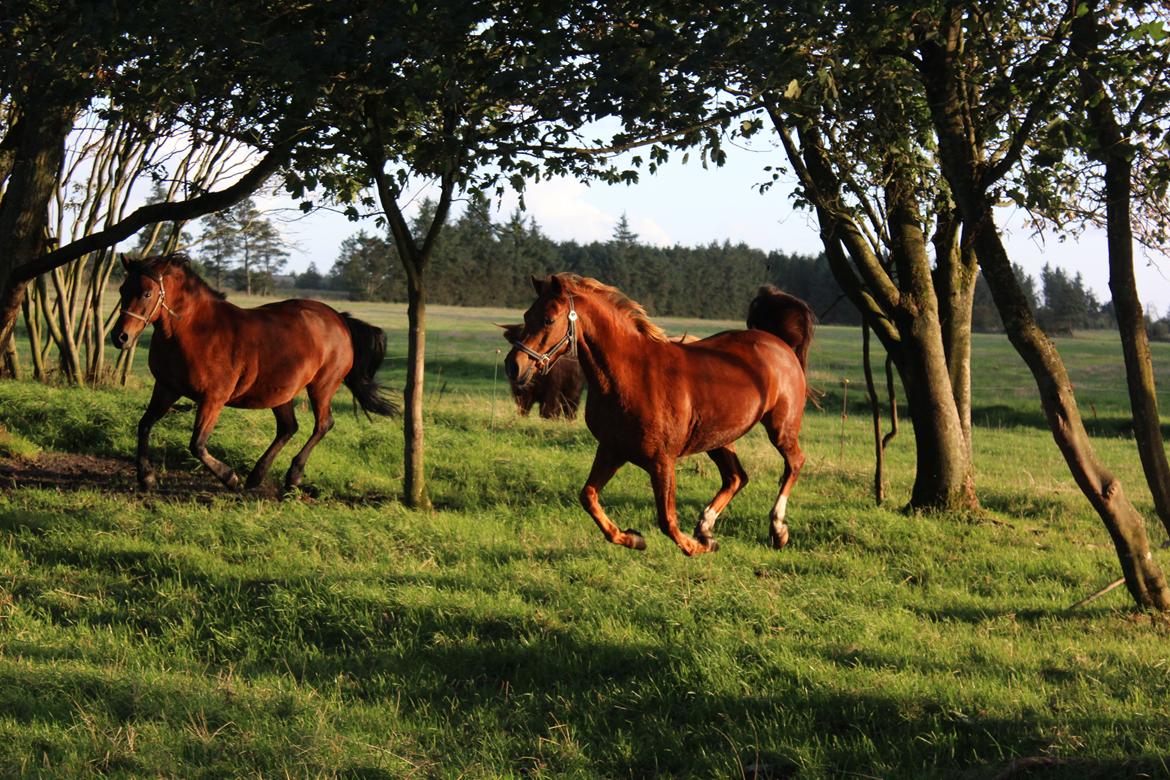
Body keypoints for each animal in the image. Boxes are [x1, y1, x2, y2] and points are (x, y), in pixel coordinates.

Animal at [112, 253, 400, 491]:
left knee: (322, 425)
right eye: (123, 289)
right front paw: (146, 478)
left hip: (322, 387)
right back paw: (256, 476)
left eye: (146, 294)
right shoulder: (167, 388)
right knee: (288, 428)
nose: (120, 337)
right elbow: (144, 425)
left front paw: (230, 478)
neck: (193, 331)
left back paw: (292, 476)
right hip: (281, 392)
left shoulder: (213, 398)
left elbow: (197, 444)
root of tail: (339, 319)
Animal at [503, 274, 814, 554]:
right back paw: (705, 526)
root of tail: (779, 344)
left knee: (794, 463)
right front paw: (634, 538)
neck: (630, 375)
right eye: (527, 315)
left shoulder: (661, 460)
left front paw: (697, 547)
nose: (513, 366)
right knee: (736, 477)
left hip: (780, 428)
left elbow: (667, 520)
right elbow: (588, 497)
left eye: (548, 319)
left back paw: (777, 529)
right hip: (720, 438)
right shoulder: (612, 450)